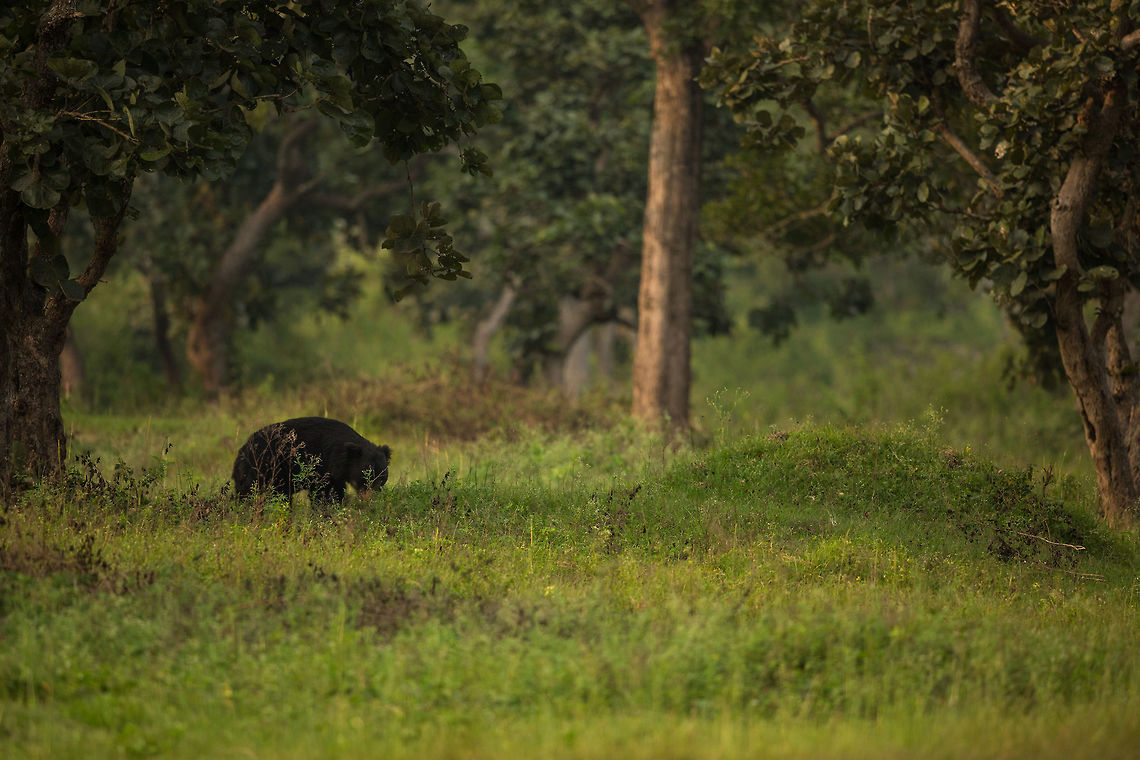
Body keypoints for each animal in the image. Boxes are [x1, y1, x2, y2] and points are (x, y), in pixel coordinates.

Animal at [232, 417, 391, 505]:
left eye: (382, 479)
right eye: (365, 477)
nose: (370, 499)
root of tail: (242, 450)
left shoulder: (335, 476)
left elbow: (335, 492)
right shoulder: (321, 465)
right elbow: (323, 494)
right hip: (263, 469)